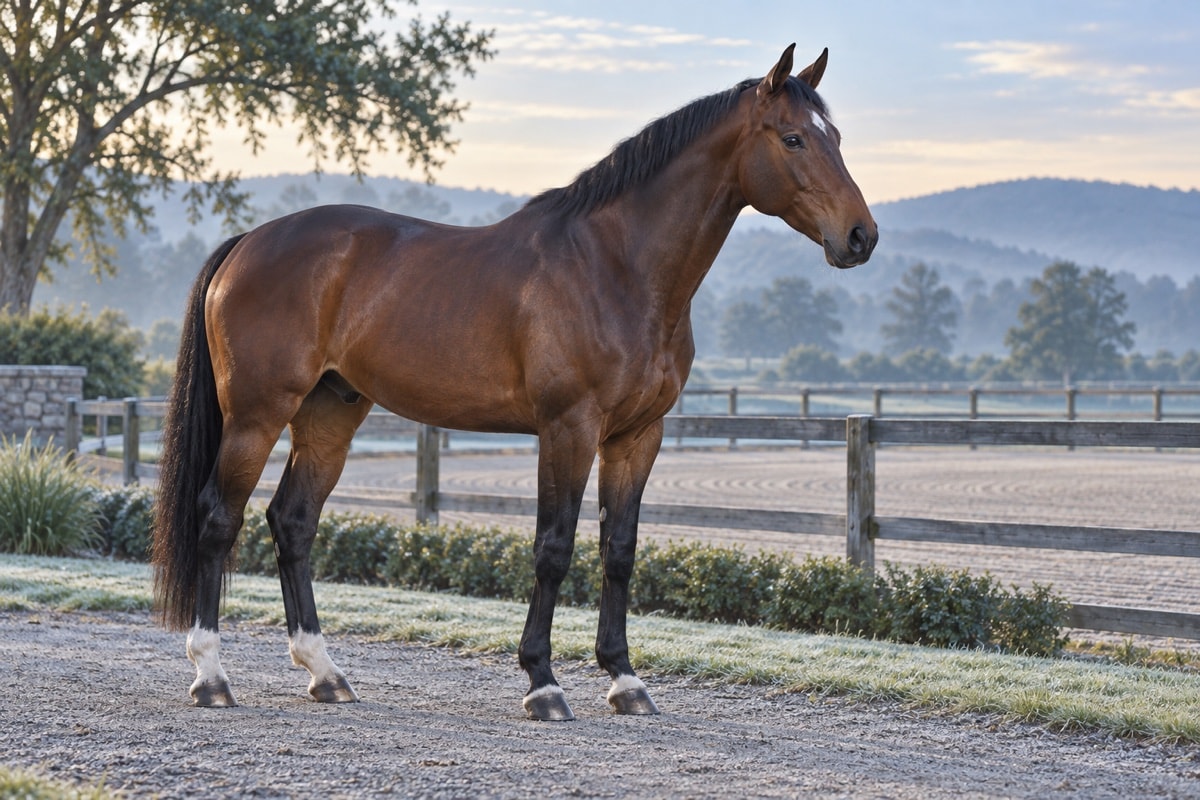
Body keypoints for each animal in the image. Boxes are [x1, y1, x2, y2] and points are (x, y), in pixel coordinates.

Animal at [151, 43, 877, 721]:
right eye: (793, 138)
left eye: (838, 137)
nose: (860, 236)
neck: (618, 267)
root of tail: (247, 243)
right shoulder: (568, 428)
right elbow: (553, 548)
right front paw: (543, 683)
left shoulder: (637, 435)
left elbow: (619, 549)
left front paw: (625, 680)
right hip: (257, 413)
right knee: (218, 517)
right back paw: (211, 676)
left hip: (330, 414)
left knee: (293, 521)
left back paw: (325, 673)